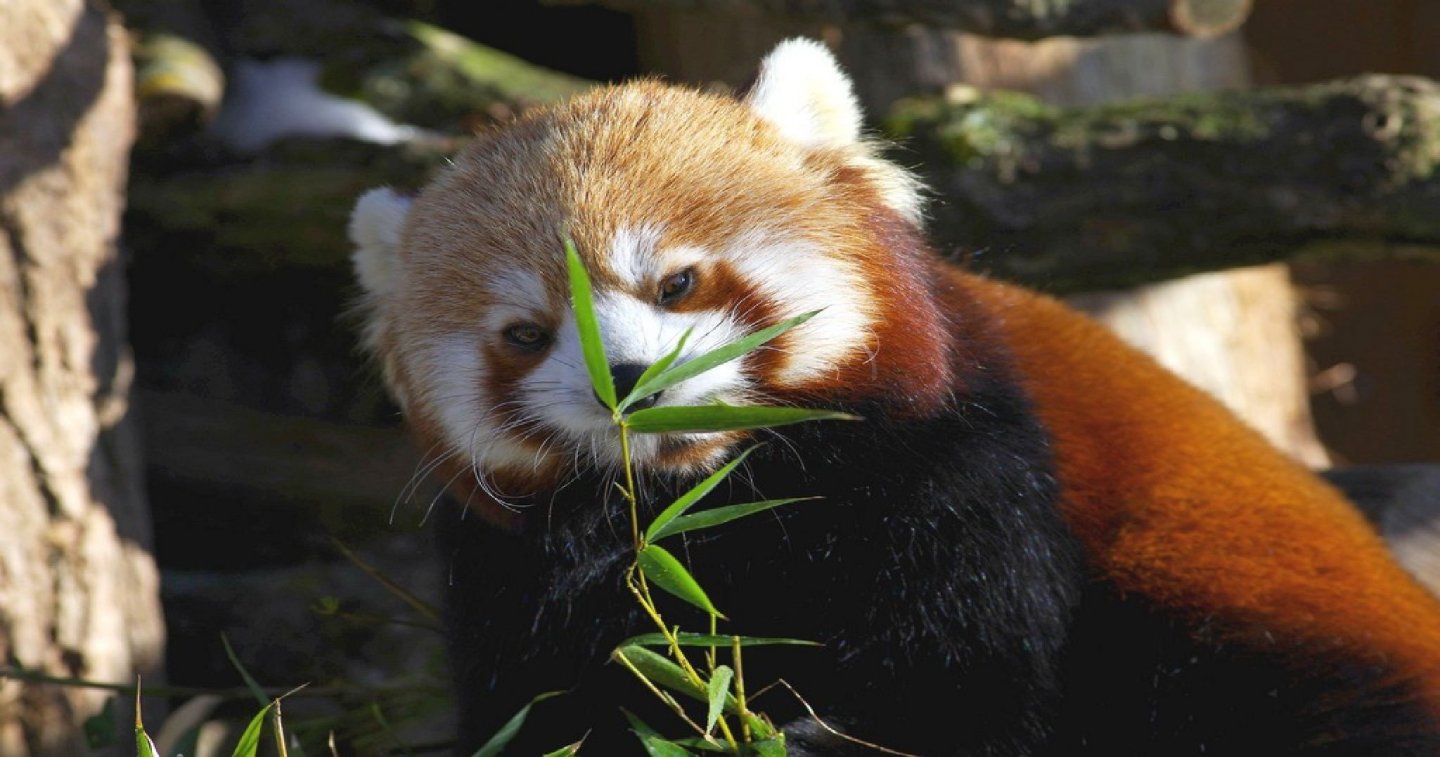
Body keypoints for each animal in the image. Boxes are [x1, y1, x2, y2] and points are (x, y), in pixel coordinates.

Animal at [348, 40, 1440, 754]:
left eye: (676, 283)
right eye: (526, 335)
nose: (628, 383)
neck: (711, 497)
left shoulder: (960, 467)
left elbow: (960, 689)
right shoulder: (517, 565)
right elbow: (551, 703)